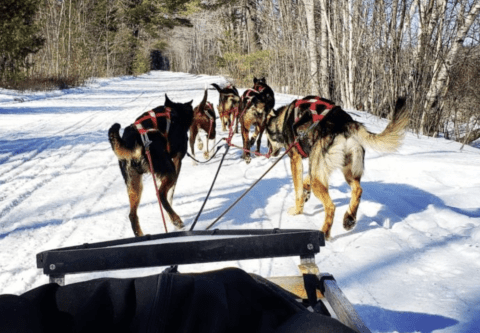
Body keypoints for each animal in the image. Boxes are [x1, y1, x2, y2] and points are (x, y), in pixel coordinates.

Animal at [108, 94, 193, 236]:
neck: (173, 112)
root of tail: (134, 141)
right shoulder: (177, 160)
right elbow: (171, 192)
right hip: (168, 170)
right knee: (161, 194)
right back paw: (176, 220)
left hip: (134, 184)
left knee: (132, 215)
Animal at [264, 95, 406, 239]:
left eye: (266, 135)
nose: (268, 152)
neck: (284, 119)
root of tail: (345, 123)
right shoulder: (315, 165)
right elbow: (305, 181)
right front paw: (306, 192)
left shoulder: (295, 160)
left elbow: (298, 191)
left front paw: (297, 210)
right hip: (348, 171)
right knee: (358, 190)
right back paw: (349, 219)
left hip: (319, 178)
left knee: (331, 207)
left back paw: (324, 233)